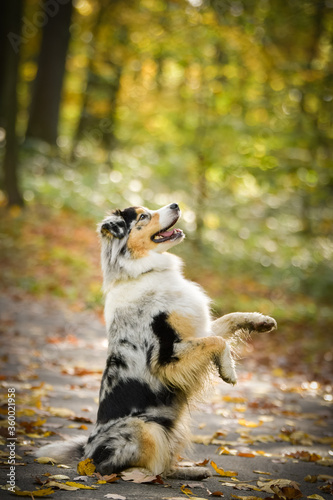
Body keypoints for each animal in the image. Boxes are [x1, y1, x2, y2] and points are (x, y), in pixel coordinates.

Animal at [35, 203, 274, 480]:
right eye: (143, 216)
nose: (176, 204)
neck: (145, 271)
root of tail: (87, 455)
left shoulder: (196, 330)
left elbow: (227, 321)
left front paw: (261, 320)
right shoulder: (164, 359)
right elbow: (216, 341)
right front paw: (229, 371)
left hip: (174, 426)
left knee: (165, 464)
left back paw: (192, 471)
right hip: (146, 427)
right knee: (136, 468)